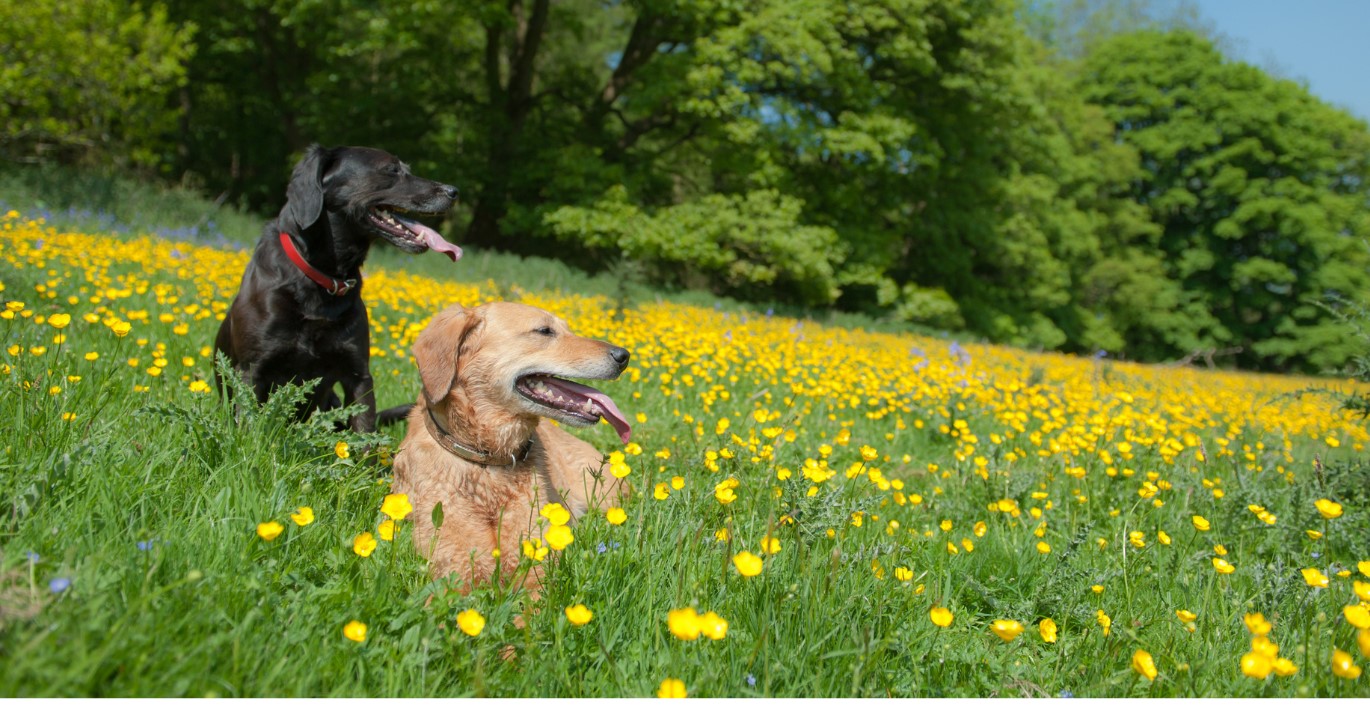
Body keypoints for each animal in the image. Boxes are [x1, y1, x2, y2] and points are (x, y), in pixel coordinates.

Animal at [216, 145, 463, 433]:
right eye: (391, 170)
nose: (453, 191)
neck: (325, 277)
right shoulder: (251, 370)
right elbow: (248, 425)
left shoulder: (358, 373)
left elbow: (364, 430)